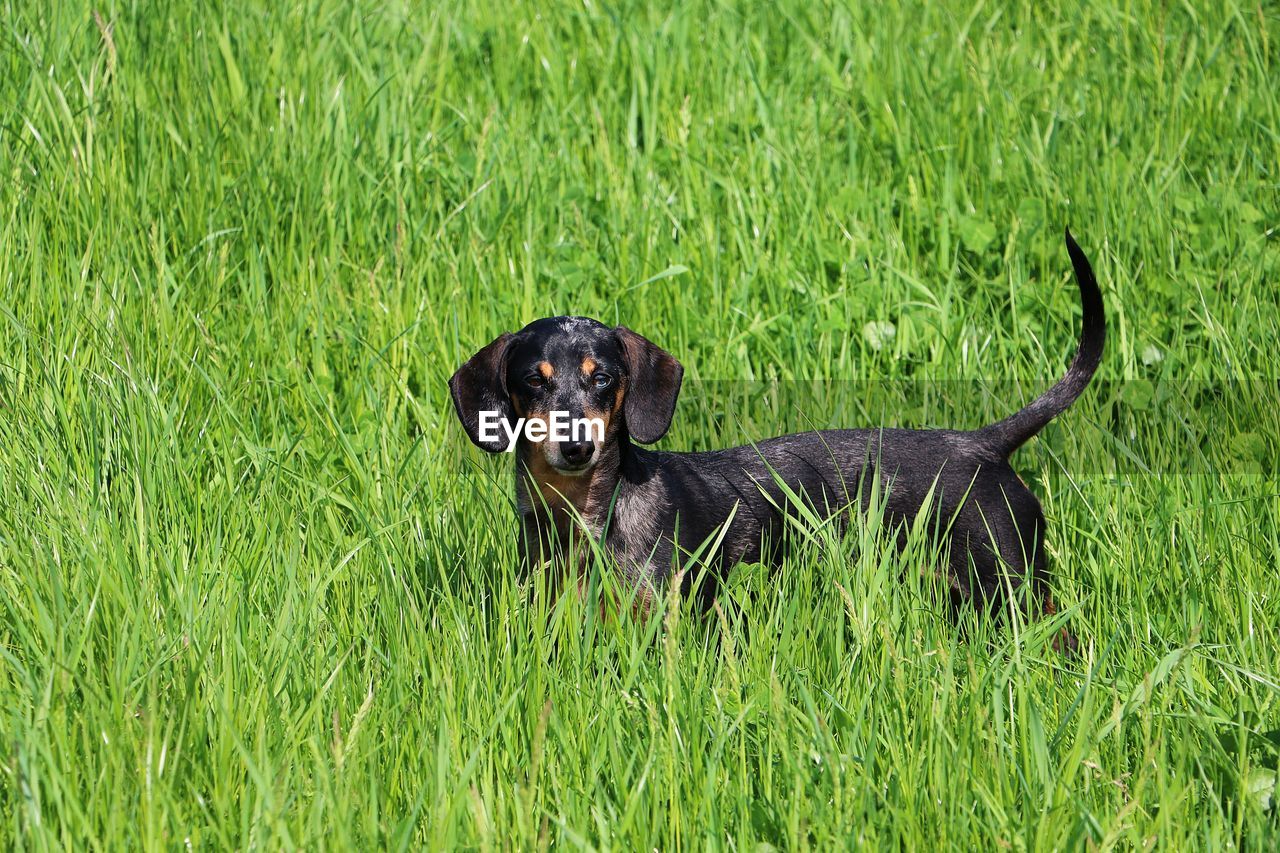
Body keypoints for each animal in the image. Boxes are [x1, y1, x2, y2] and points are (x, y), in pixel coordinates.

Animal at [450, 229, 1100, 648]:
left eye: (603, 377)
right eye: (533, 381)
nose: (576, 446)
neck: (586, 516)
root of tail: (981, 444)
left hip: (1012, 587)